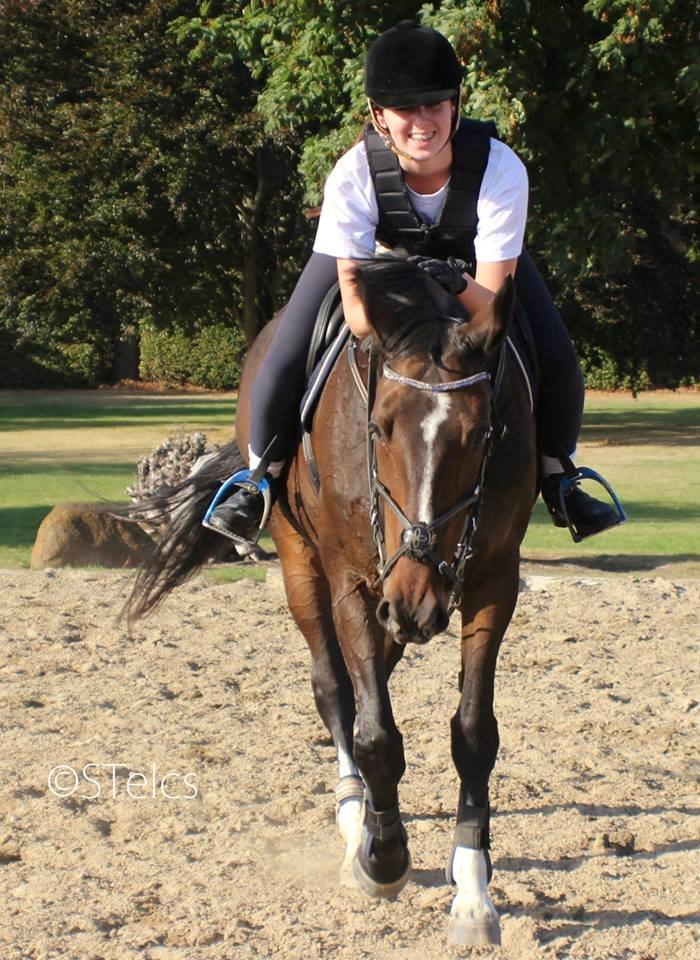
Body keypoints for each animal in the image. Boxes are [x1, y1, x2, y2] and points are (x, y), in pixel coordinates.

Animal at [124, 257, 536, 947]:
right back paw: (355, 817)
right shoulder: (351, 582)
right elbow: (373, 733)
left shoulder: (492, 583)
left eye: (483, 434)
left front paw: (474, 894)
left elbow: (474, 733)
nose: (418, 600)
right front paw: (383, 857)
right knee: (335, 689)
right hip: (303, 563)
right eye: (378, 427)